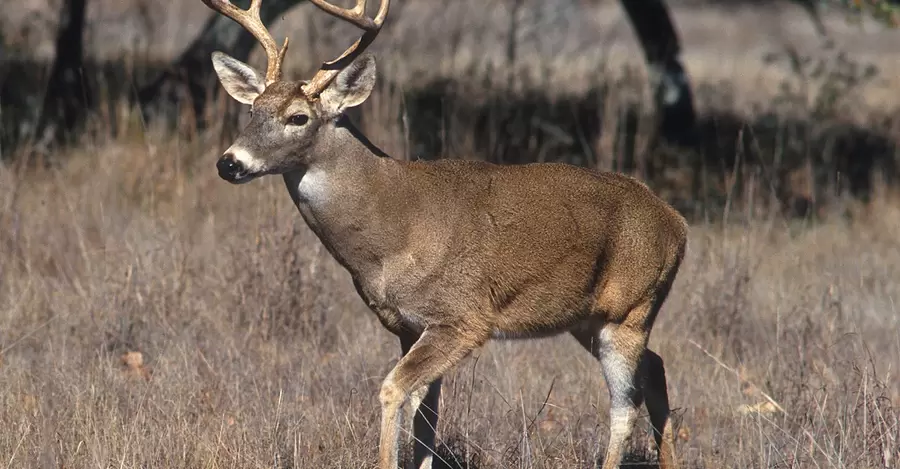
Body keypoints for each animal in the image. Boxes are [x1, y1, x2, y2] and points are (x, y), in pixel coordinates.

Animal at [202, 0, 688, 464]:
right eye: (252, 110)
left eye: (298, 117)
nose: (229, 162)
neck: (390, 234)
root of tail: (677, 222)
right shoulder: (406, 325)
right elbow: (426, 415)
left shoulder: (462, 317)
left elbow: (393, 390)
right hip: (587, 319)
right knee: (657, 368)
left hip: (630, 309)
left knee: (625, 405)